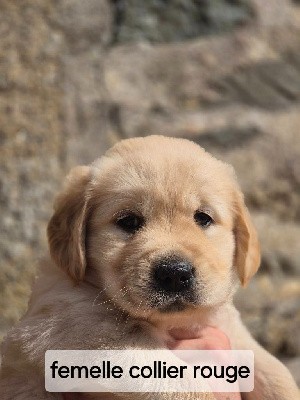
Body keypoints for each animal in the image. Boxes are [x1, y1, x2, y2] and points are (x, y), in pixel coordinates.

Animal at [0, 136, 298, 398]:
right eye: (129, 221)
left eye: (203, 218)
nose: (175, 273)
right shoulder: (72, 330)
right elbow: (179, 381)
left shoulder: (227, 327)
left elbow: (271, 368)